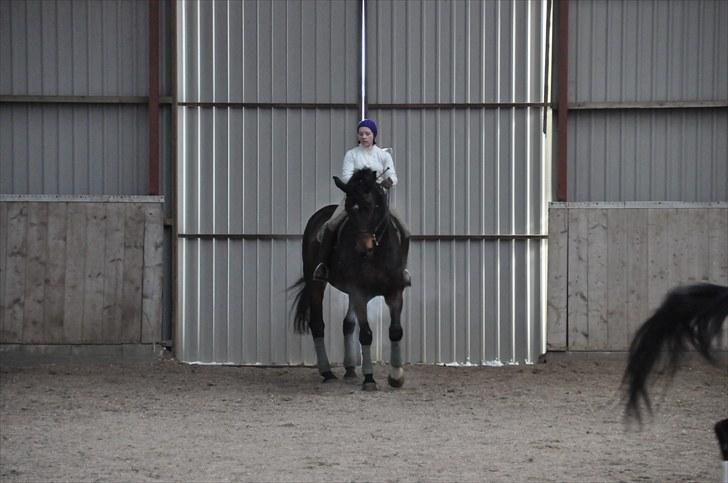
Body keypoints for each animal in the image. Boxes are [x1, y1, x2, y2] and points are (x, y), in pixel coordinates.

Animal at [292, 168, 412, 392]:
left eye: (374, 206)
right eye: (349, 208)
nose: (363, 246)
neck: (376, 254)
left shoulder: (395, 293)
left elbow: (395, 331)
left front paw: (396, 377)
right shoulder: (359, 293)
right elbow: (366, 334)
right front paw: (369, 379)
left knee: (347, 324)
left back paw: (349, 370)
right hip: (317, 284)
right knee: (318, 324)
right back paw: (328, 373)